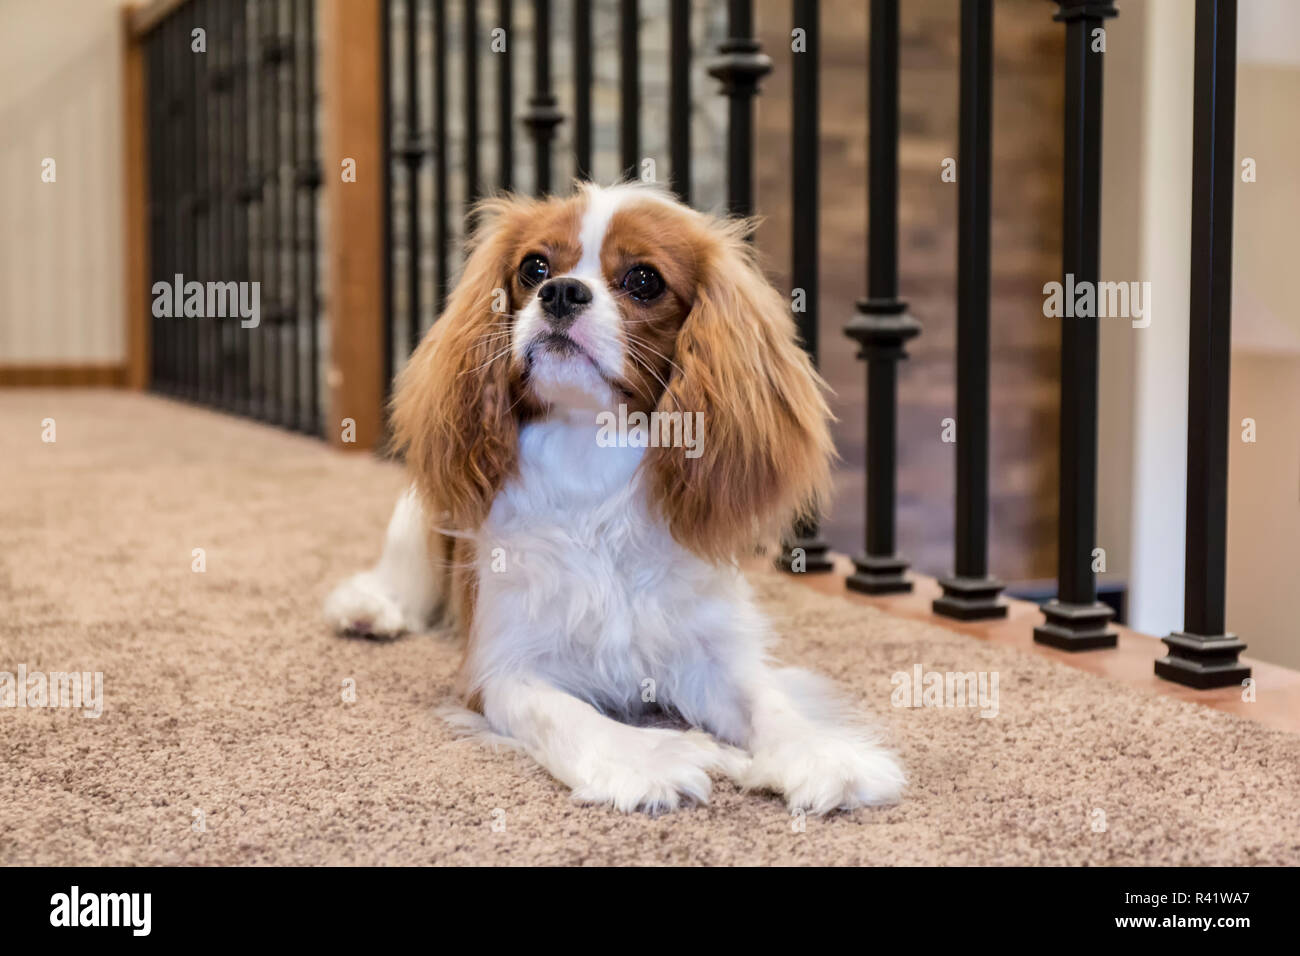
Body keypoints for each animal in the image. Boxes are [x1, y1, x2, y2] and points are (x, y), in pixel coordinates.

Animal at [325, 180, 904, 816]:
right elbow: (566, 716)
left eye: (644, 280)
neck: (588, 451)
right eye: (534, 268)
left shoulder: (706, 650)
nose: (560, 291)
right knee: (400, 573)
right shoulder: (500, 669)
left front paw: (821, 754)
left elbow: (765, 699)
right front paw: (649, 759)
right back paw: (369, 608)